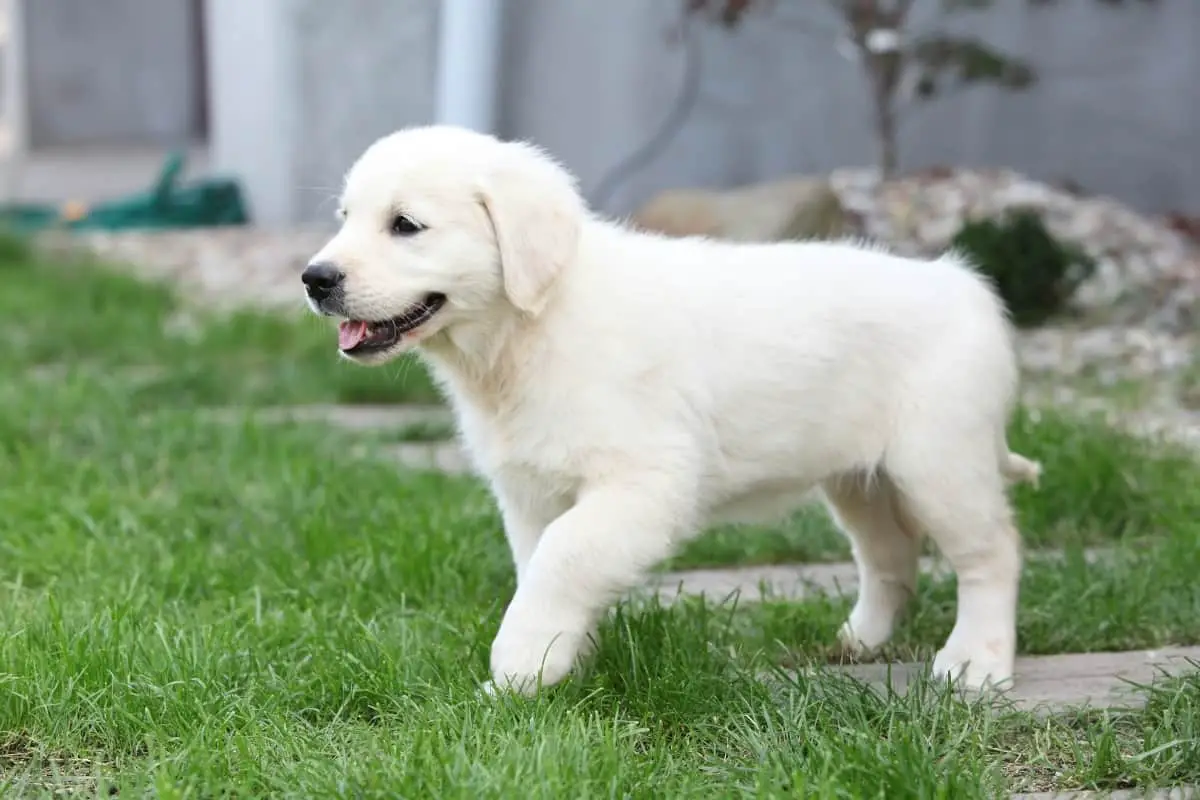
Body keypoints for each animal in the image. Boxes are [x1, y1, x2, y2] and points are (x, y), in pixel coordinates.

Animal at [307, 123, 1041, 695]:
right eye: (344, 218)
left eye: (405, 225)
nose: (315, 279)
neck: (529, 327)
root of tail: (962, 282)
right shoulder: (530, 494)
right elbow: (544, 566)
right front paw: (561, 661)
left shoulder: (644, 480)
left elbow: (562, 559)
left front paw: (516, 668)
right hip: (859, 477)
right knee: (891, 554)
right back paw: (860, 642)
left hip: (939, 460)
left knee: (992, 552)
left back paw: (976, 663)